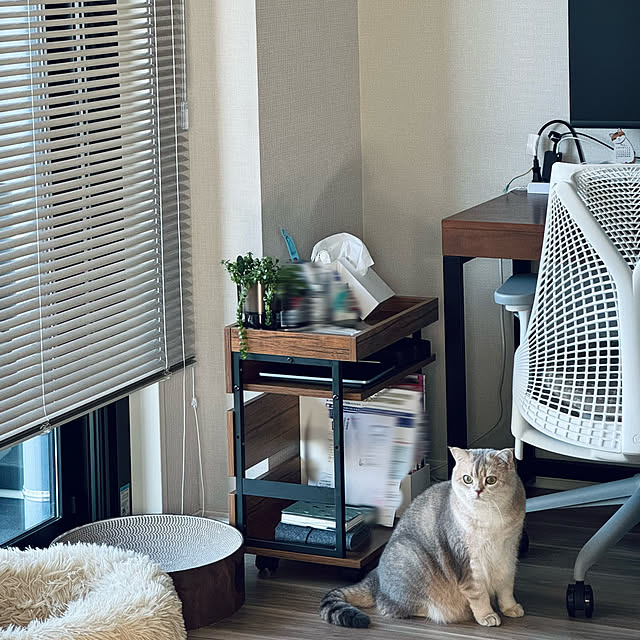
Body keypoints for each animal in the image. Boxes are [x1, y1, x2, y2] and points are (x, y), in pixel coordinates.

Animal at [320, 447, 526, 628]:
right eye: (467, 479)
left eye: (491, 480)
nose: (477, 490)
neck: (490, 519)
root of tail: (375, 578)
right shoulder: (468, 563)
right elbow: (478, 595)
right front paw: (487, 615)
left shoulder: (509, 552)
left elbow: (506, 586)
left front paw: (510, 607)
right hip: (412, 555)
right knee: (391, 607)